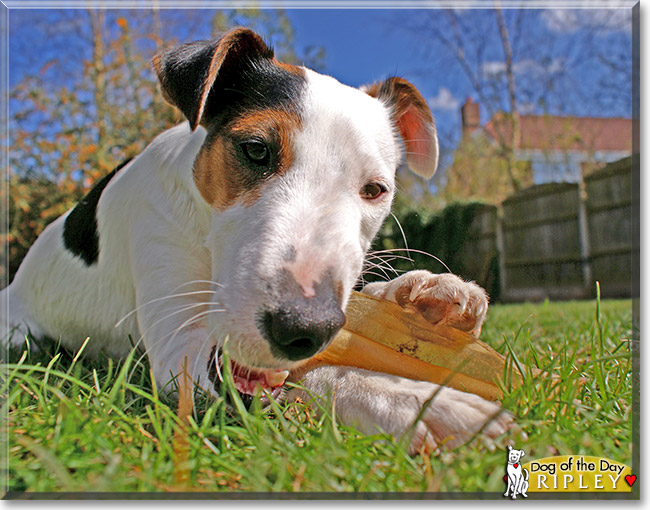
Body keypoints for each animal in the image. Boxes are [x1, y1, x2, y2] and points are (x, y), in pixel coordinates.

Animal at [2, 28, 512, 454]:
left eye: (375, 189)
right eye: (255, 149)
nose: (304, 325)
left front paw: (420, 297)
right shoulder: (179, 348)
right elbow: (311, 374)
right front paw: (412, 401)